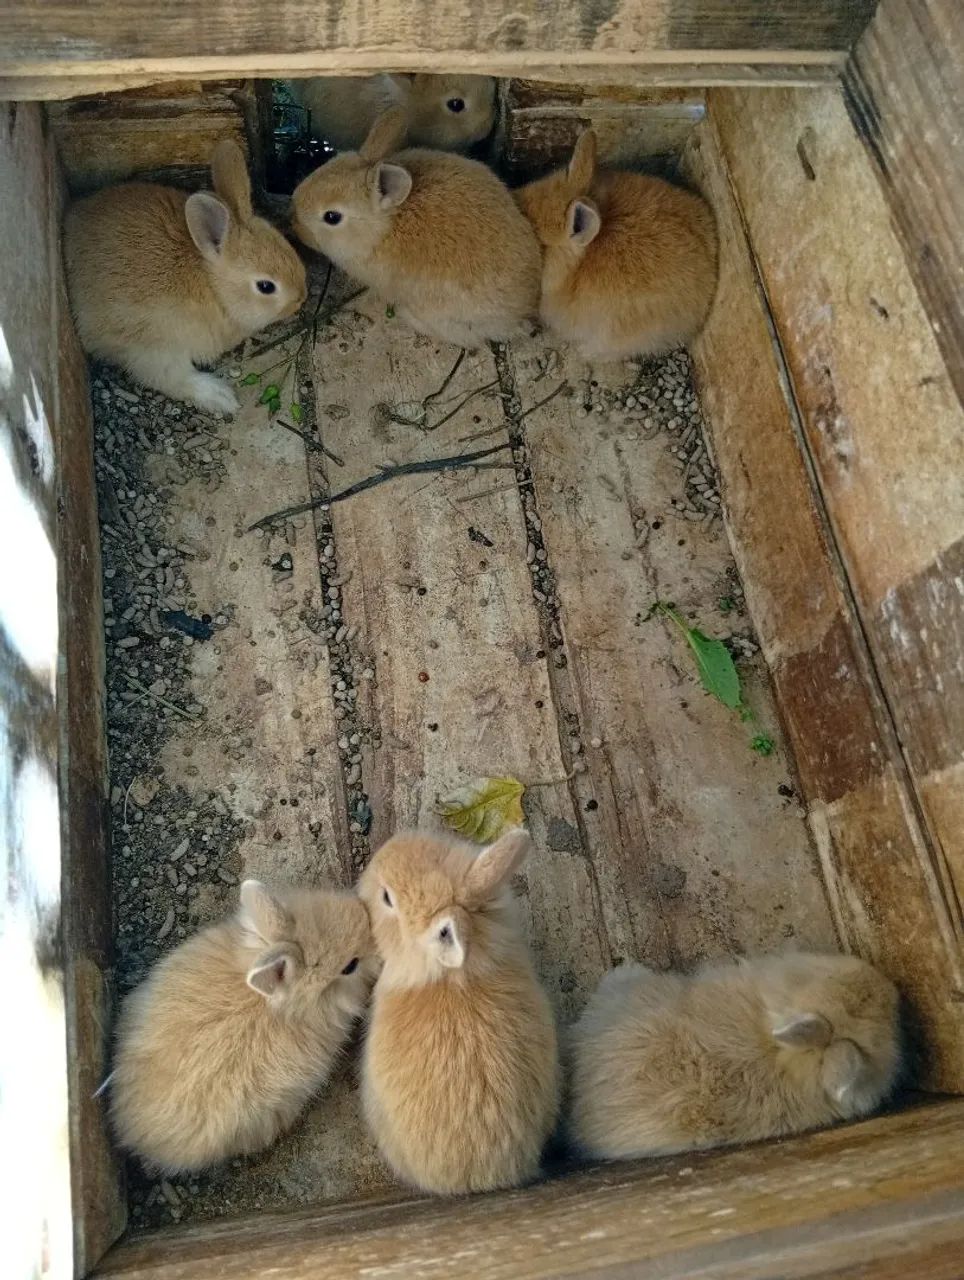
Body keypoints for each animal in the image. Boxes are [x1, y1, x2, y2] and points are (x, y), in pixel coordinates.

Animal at [63, 140, 307, 415]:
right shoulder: (151, 344)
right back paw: (219, 396)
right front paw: (223, 399)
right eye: (266, 286)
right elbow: (168, 377)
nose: (301, 298)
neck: (212, 286)